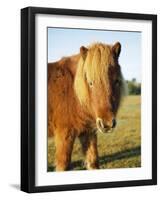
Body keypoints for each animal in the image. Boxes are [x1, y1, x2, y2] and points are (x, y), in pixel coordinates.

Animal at [47, 41, 125, 170]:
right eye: (90, 83)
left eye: (117, 81)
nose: (107, 124)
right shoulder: (64, 135)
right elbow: (63, 165)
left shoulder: (88, 132)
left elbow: (93, 162)